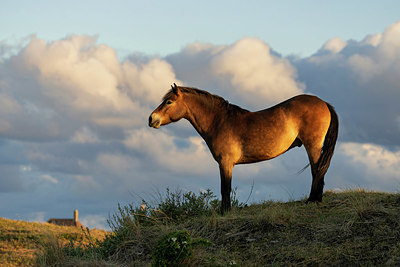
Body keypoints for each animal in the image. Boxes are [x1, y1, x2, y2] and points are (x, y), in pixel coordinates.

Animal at [148, 84, 340, 214]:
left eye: (169, 102)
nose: (151, 119)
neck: (219, 122)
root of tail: (323, 103)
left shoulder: (225, 162)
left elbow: (225, 188)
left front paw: (225, 212)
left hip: (313, 145)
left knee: (317, 171)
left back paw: (312, 200)